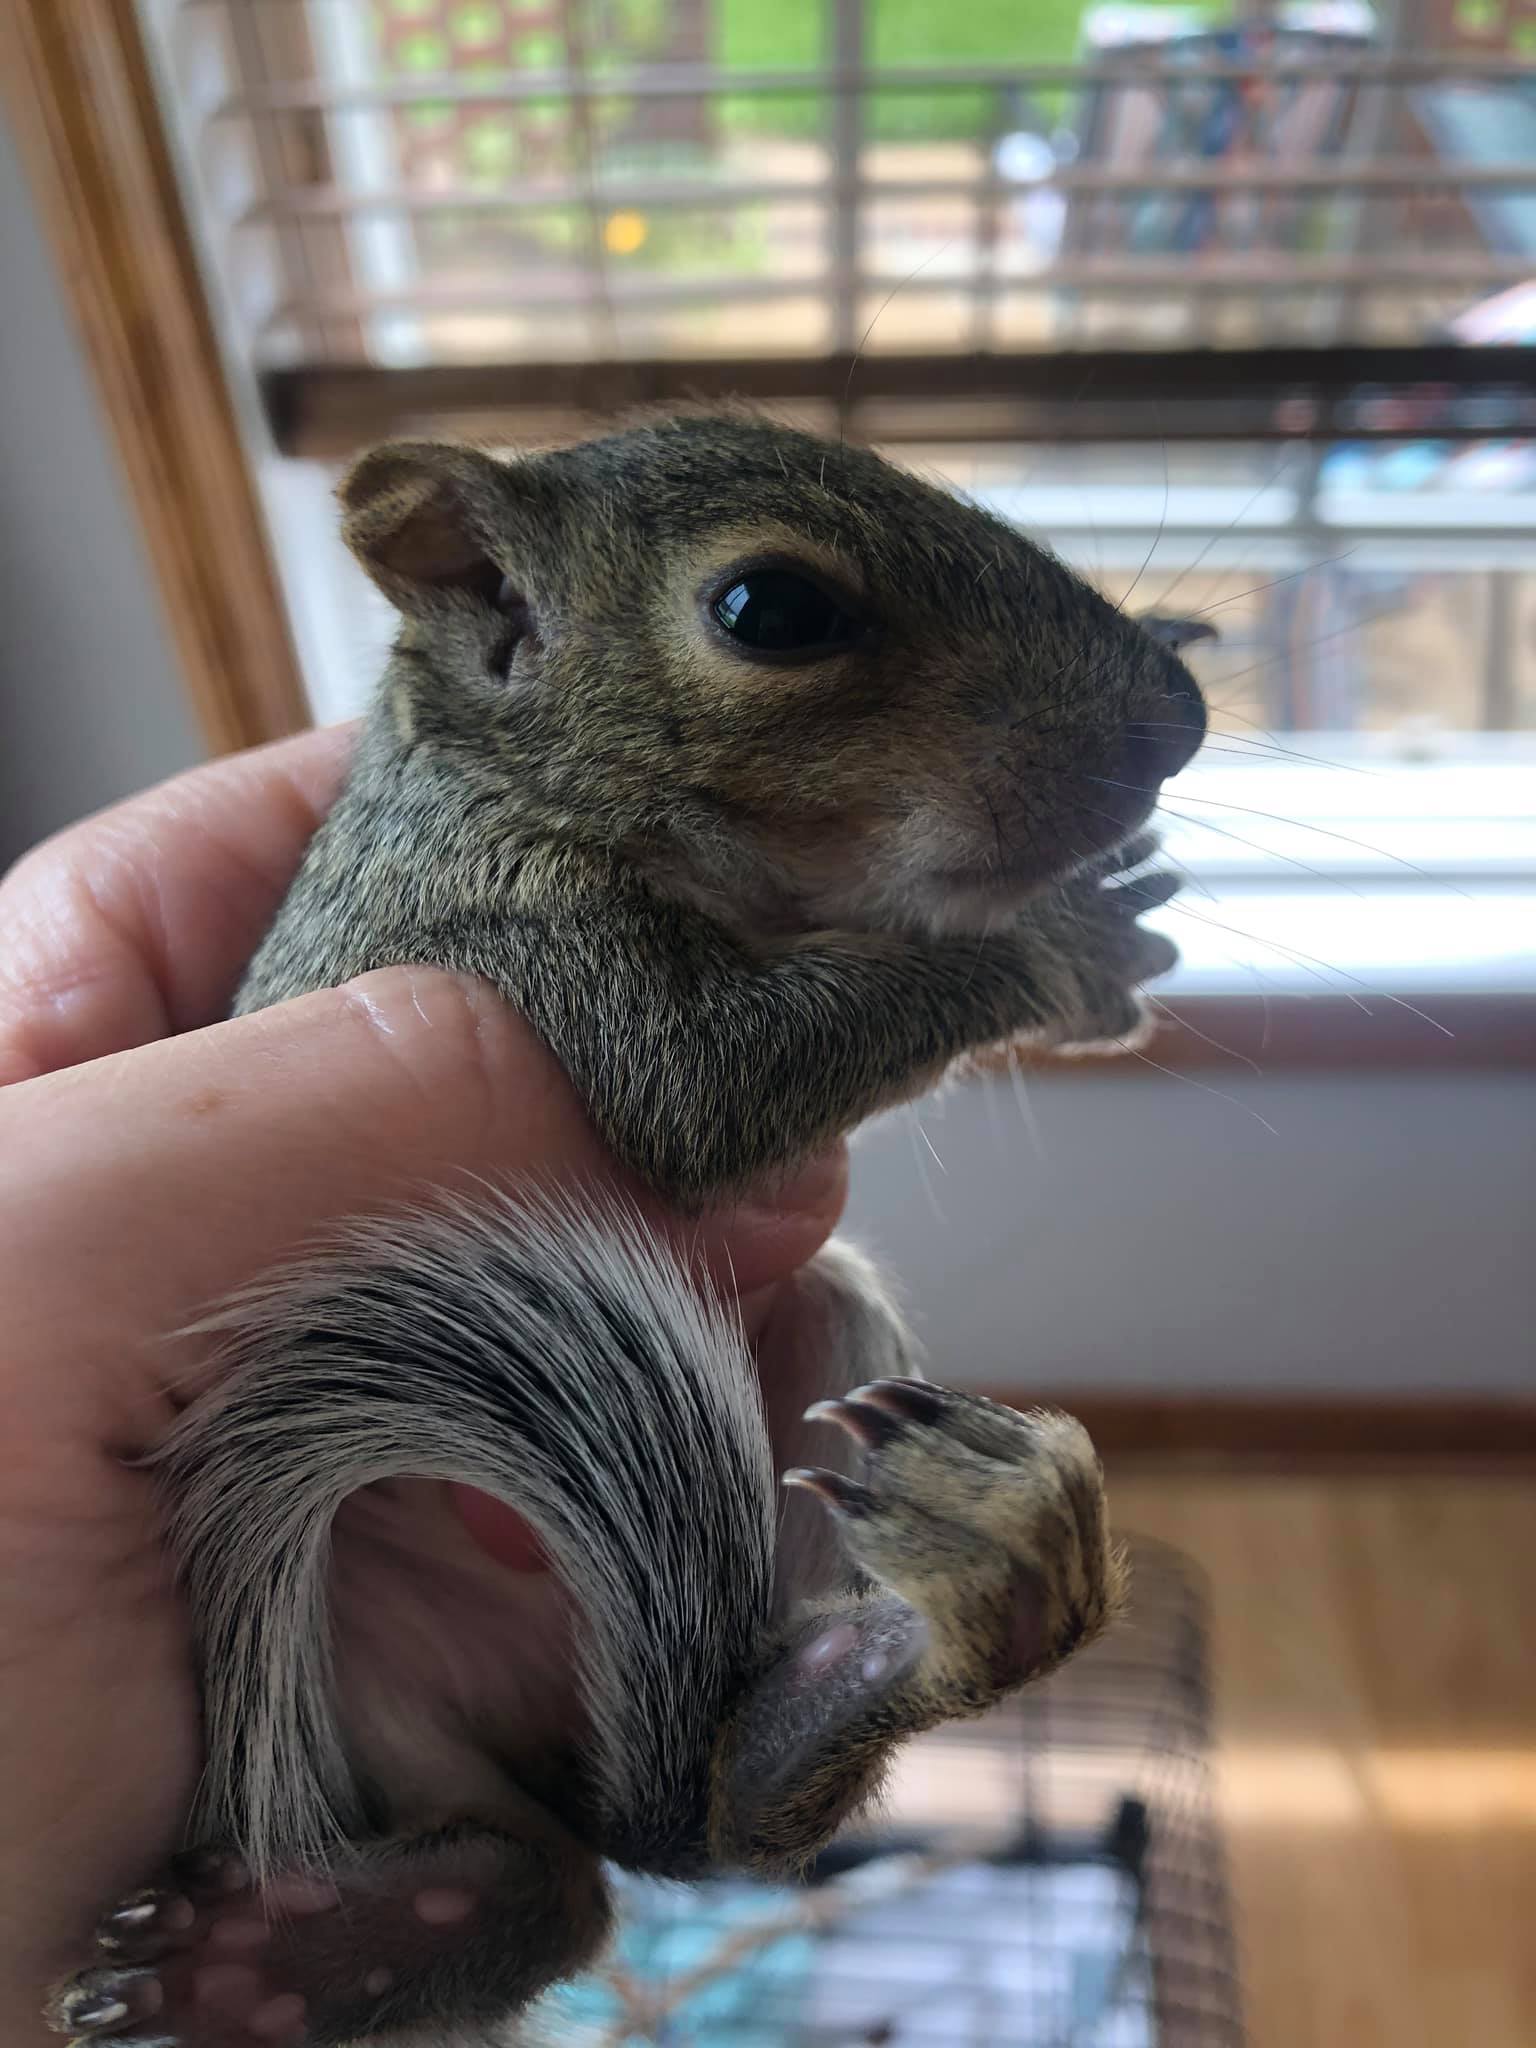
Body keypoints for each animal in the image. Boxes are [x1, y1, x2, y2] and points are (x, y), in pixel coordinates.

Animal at [48, 411, 1212, 2048]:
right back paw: (297, 1960)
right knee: (564, 1878)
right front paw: (1064, 938)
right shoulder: (498, 934)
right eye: (770, 610)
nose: (1179, 720)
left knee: (657, 1843)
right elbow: (707, 1083)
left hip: (815, 1352)